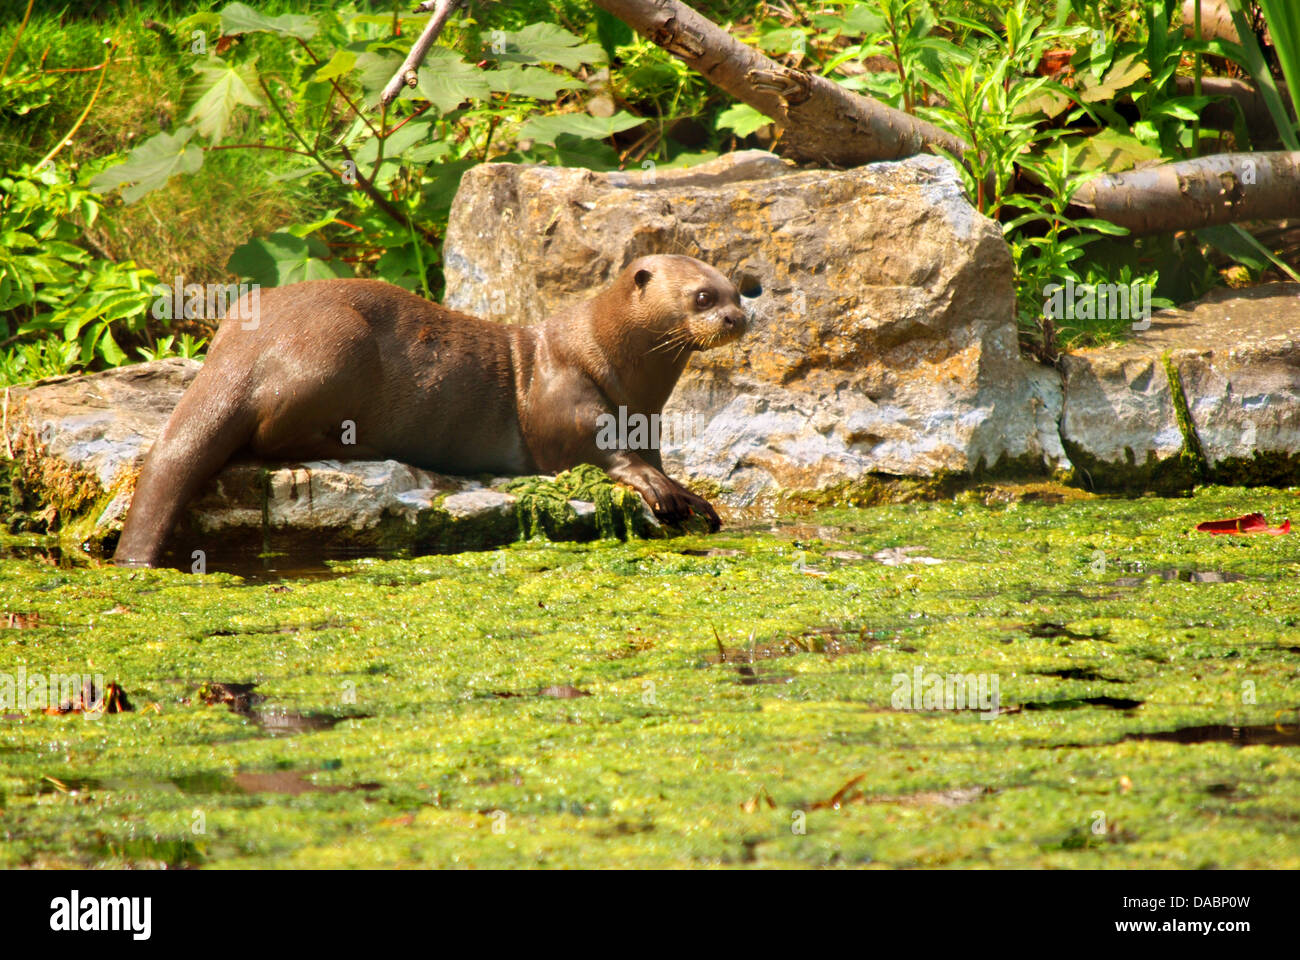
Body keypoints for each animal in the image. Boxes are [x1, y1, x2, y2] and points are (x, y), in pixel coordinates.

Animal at [113, 255, 746, 566]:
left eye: (741, 291)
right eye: (702, 297)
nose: (738, 318)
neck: (610, 357)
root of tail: (241, 342)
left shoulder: (648, 422)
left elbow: (654, 457)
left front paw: (690, 492)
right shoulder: (565, 395)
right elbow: (598, 453)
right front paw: (664, 492)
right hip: (336, 347)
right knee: (270, 438)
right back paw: (360, 446)